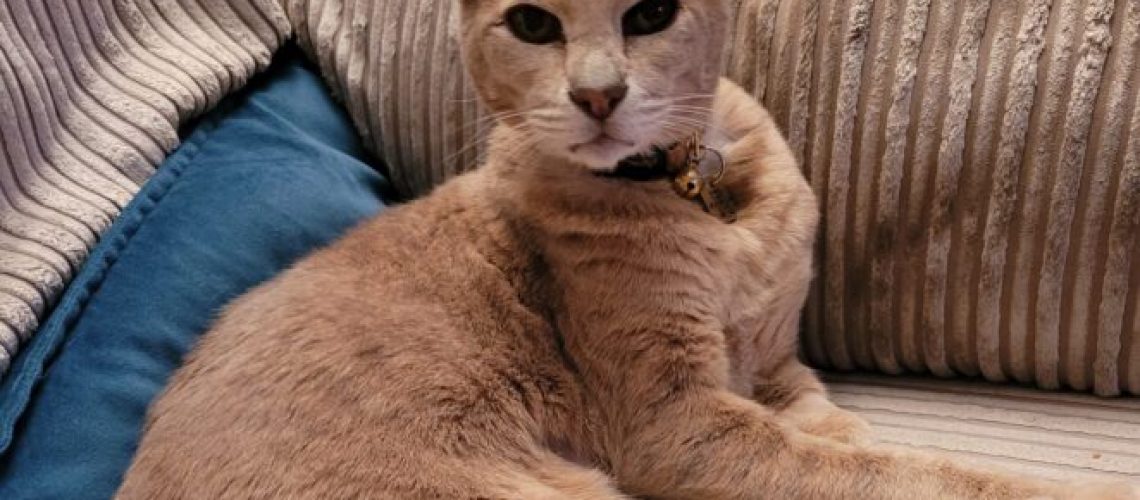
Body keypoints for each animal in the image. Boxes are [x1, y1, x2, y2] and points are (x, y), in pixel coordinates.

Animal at [120, 0, 1135, 500]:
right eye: (535, 27)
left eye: (646, 20)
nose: (598, 93)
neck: (701, 191)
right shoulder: (676, 423)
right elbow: (900, 473)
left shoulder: (776, 362)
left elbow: (834, 425)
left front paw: (844, 427)